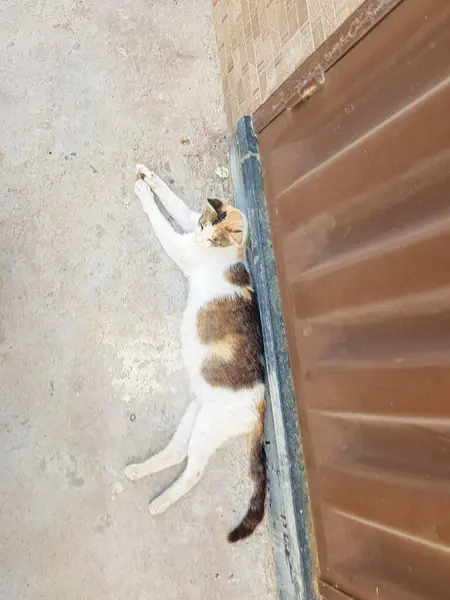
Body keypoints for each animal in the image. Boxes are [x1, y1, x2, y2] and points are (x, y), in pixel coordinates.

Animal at [124, 165, 268, 544]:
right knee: (177, 452)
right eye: (205, 225)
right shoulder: (188, 221)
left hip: (209, 426)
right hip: (196, 411)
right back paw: (138, 471)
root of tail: (262, 405)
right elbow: (173, 203)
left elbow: (162, 222)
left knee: (194, 472)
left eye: (217, 239)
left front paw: (144, 195)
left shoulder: (180, 245)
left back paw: (159, 502)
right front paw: (148, 177)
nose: (202, 239)